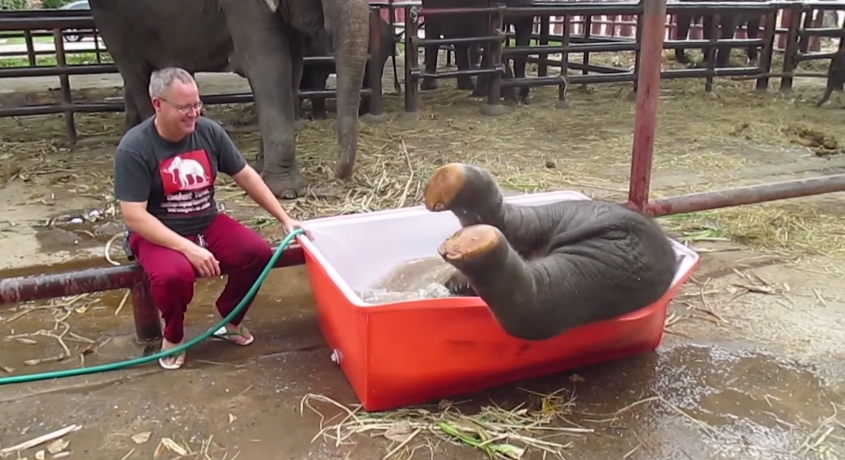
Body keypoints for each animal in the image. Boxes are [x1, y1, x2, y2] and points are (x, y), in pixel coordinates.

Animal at [88, 0, 371, 199]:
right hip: (110, 19)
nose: (337, 174)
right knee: (135, 71)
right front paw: (287, 191)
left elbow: (293, 68)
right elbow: (269, 64)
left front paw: (260, 166)